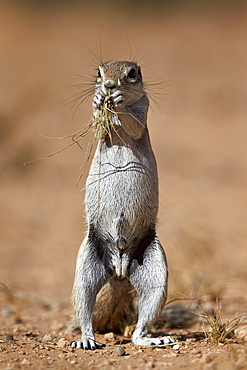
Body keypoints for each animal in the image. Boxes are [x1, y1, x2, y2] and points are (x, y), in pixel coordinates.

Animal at [70, 60, 173, 350]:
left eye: (132, 74)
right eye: (99, 73)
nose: (109, 85)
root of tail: (119, 271)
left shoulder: (144, 109)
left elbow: (134, 124)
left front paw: (117, 101)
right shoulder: (101, 128)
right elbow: (98, 125)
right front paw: (98, 102)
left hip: (156, 272)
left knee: (142, 322)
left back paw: (151, 339)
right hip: (86, 267)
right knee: (84, 304)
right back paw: (86, 339)